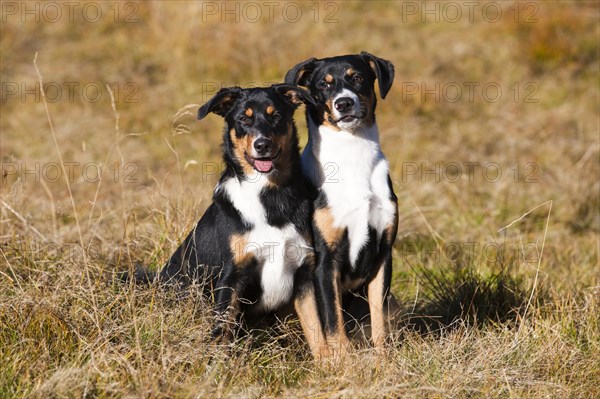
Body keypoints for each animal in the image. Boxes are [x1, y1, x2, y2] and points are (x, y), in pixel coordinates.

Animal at [152, 85, 328, 360]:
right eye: (244, 119)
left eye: (276, 115)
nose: (262, 144)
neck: (270, 196)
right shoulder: (232, 275)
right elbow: (222, 331)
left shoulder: (303, 273)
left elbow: (317, 331)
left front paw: (331, 364)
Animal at [286, 52, 398, 350]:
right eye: (323, 85)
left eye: (357, 77)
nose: (344, 102)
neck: (353, 158)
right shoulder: (325, 261)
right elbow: (334, 326)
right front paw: (344, 362)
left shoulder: (383, 254)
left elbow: (379, 324)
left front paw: (383, 359)